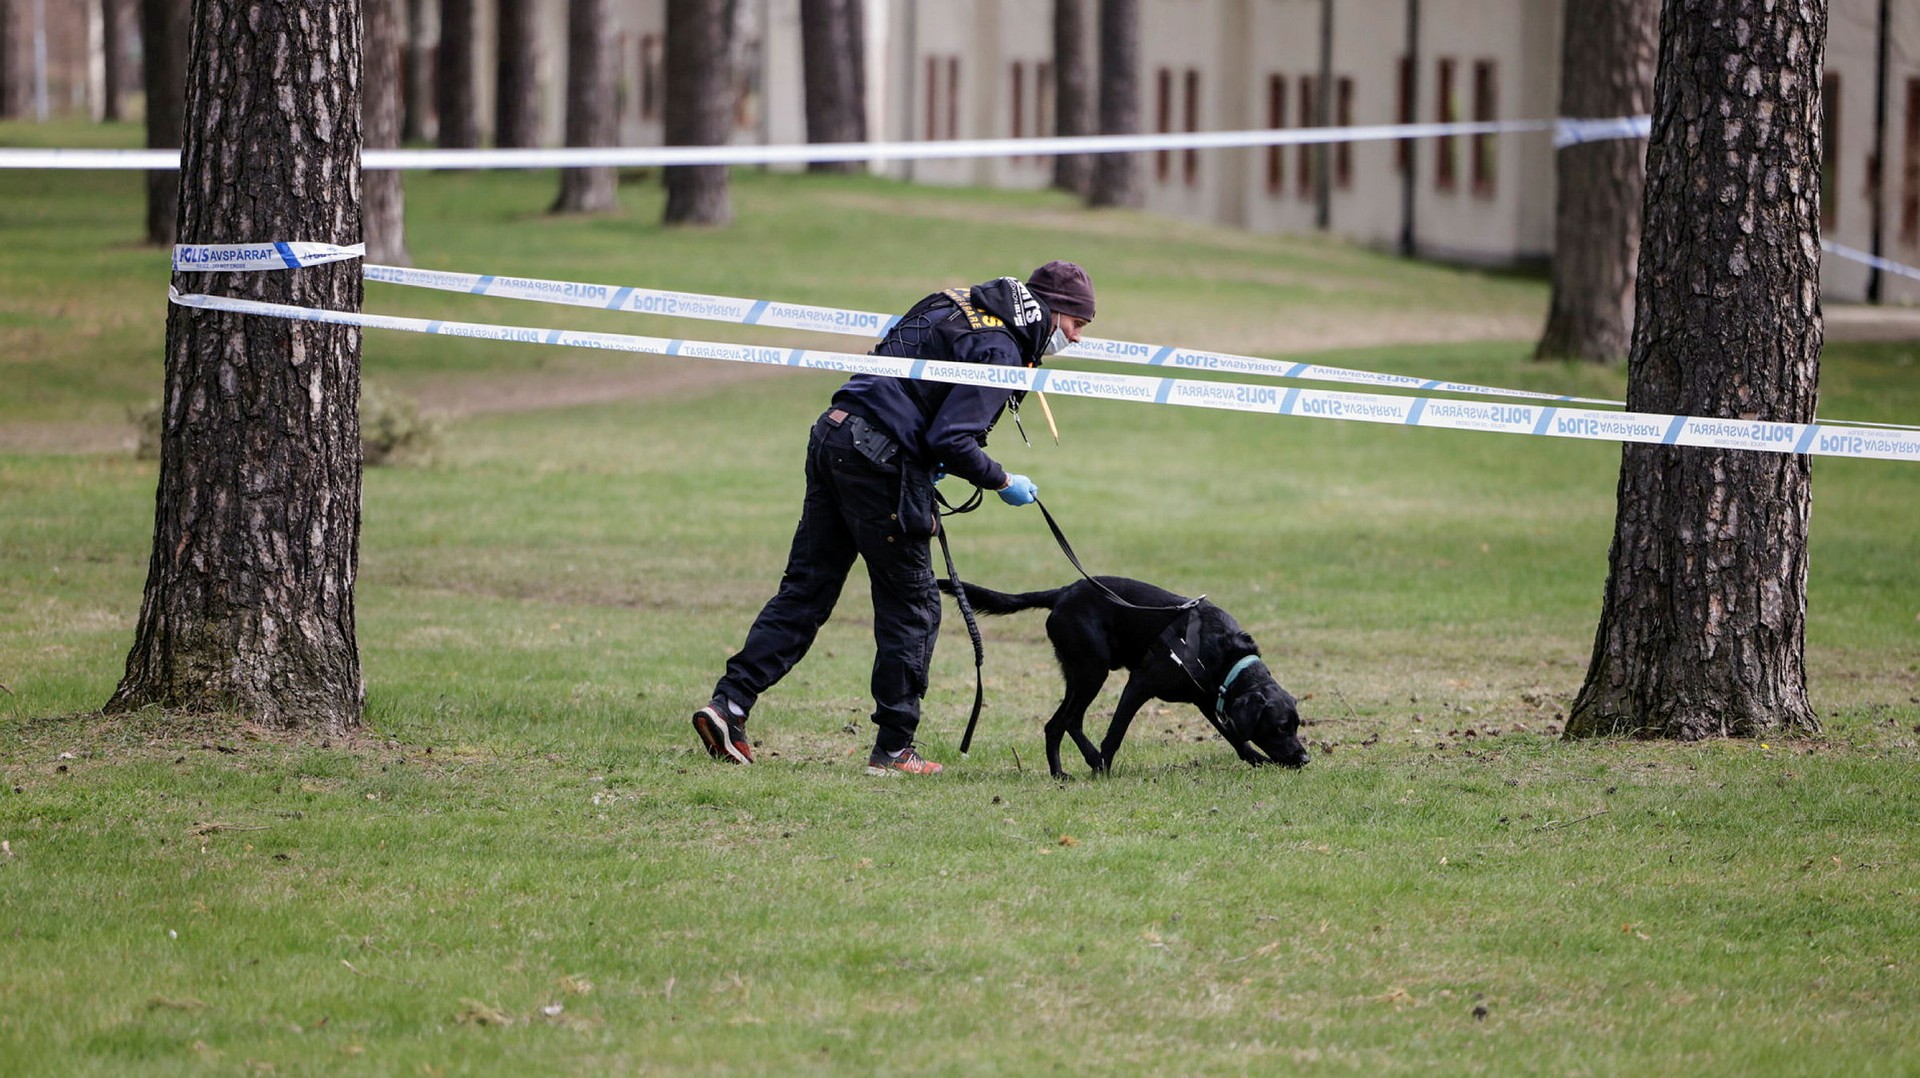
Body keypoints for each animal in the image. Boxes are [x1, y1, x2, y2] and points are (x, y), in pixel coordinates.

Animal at [940, 576, 1313, 776]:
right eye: (1281, 726)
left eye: (1296, 726)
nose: (1304, 757)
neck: (1225, 654)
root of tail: (1063, 591)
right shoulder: (1139, 684)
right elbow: (1115, 733)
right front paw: (1103, 768)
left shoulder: (1208, 699)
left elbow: (1235, 736)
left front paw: (1257, 760)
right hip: (1092, 671)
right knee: (1065, 721)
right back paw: (1085, 765)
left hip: (1080, 674)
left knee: (1060, 723)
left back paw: (1064, 771)